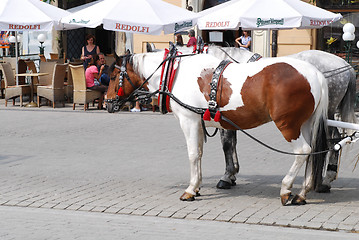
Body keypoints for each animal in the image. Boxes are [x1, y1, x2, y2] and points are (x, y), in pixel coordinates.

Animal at [109, 52, 330, 204]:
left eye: (112, 76)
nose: (108, 102)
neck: (176, 74)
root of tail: (315, 73)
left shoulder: (188, 121)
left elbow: (192, 155)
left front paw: (190, 190)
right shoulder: (198, 123)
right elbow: (199, 154)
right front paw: (197, 186)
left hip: (288, 125)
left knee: (303, 151)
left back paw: (286, 188)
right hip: (305, 124)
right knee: (311, 153)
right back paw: (302, 192)